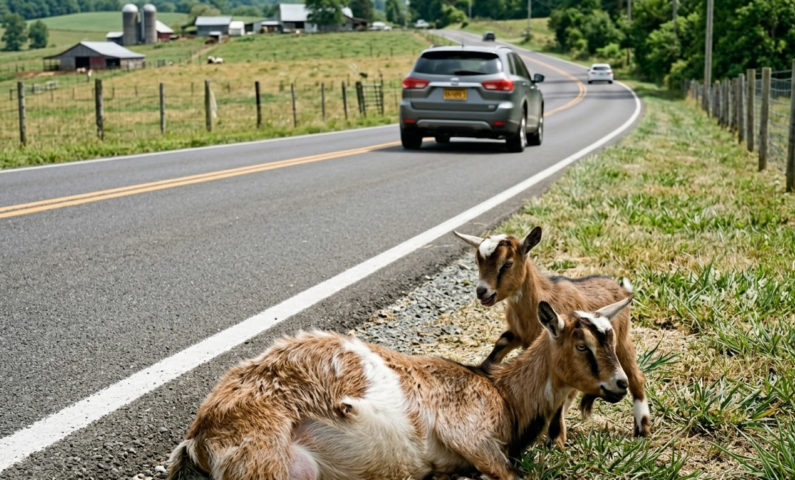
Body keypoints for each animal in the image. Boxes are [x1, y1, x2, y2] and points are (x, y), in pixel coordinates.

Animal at [167, 297, 632, 480]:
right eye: (581, 344)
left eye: (611, 339)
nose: (621, 385)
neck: (503, 394)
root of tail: (198, 437)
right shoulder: (472, 435)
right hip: (266, 464)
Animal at [453, 227, 650, 439]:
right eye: (477, 262)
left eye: (507, 264)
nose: (481, 291)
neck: (541, 296)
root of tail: (621, 289)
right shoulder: (518, 334)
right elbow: (498, 350)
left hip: (621, 342)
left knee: (635, 377)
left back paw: (642, 429)